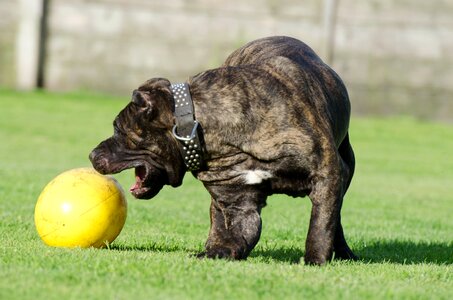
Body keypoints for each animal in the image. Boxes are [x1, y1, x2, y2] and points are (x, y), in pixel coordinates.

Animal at [88, 35, 356, 264]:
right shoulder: (236, 201)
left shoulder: (327, 174)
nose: (92, 155)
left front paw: (315, 259)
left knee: (336, 216)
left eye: (118, 129)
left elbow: (321, 223)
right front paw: (215, 252)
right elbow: (236, 232)